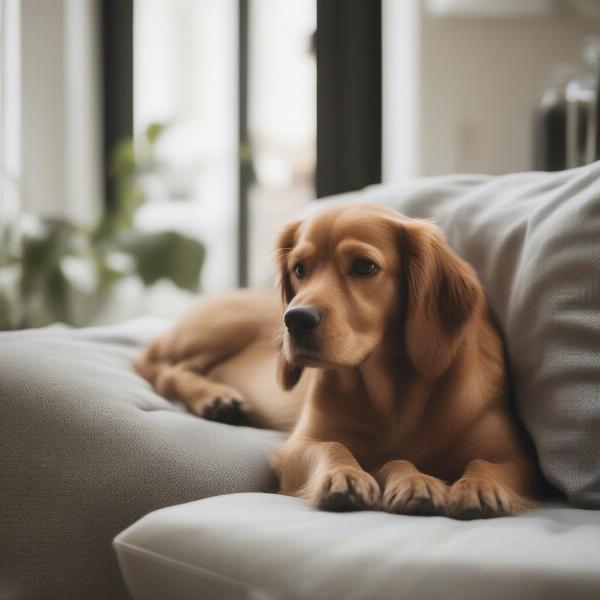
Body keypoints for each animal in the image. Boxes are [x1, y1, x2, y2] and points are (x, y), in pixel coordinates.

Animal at [136, 204, 540, 516]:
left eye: (364, 267)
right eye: (299, 269)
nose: (295, 320)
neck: (391, 394)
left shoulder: (515, 457)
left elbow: (483, 463)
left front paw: (475, 487)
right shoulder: (298, 445)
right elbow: (333, 447)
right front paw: (349, 476)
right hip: (221, 326)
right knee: (159, 367)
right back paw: (216, 398)